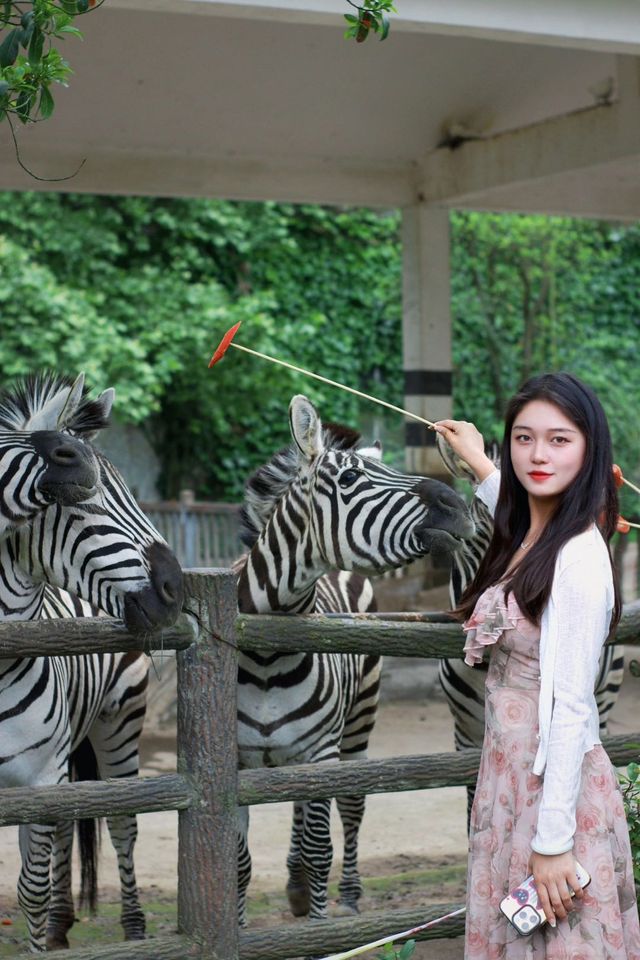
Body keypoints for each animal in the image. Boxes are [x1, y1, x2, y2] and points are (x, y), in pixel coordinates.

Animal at [0, 372, 182, 948]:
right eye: (83, 504)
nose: (177, 588)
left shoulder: (40, 779)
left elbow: (30, 890)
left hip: (118, 721)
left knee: (120, 824)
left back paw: (133, 927)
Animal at [235, 394, 476, 928]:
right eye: (348, 479)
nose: (457, 506)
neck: (265, 657)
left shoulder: (321, 753)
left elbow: (320, 848)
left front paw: (318, 928)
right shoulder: (232, 761)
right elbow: (235, 861)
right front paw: (232, 926)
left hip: (358, 718)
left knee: (349, 804)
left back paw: (343, 895)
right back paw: (294, 886)